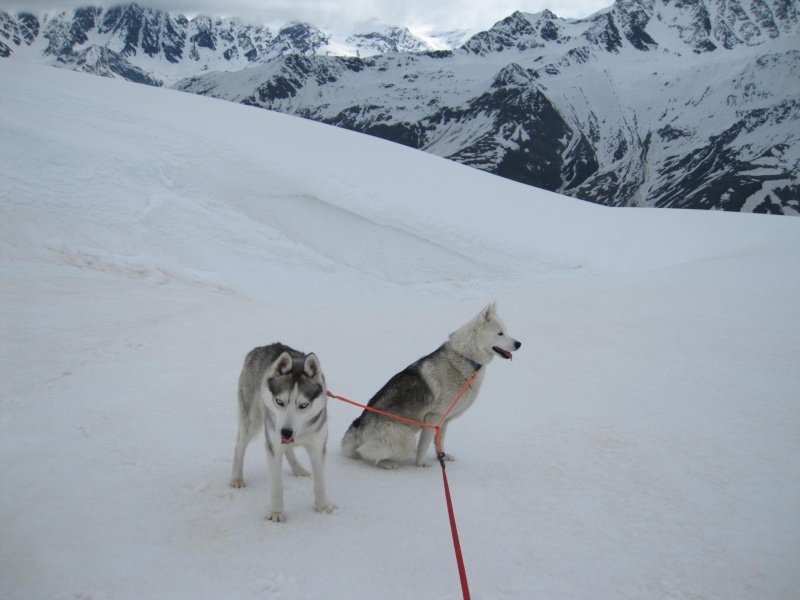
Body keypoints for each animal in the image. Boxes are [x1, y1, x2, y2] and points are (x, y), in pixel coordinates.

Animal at [230, 344, 332, 524]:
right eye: (279, 401)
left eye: (303, 405)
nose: (286, 431)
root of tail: (261, 348)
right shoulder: (273, 447)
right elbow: (277, 485)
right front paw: (276, 512)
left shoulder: (318, 448)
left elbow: (320, 482)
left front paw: (323, 506)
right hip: (252, 421)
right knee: (239, 448)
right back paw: (237, 478)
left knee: (289, 449)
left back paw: (298, 469)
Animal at [340, 302, 520, 472]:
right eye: (500, 333)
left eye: (506, 331)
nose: (519, 343)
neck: (465, 357)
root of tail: (358, 427)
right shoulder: (433, 417)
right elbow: (425, 444)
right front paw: (421, 464)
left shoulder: (443, 420)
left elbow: (439, 441)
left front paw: (442, 456)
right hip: (405, 438)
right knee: (366, 452)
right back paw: (387, 463)